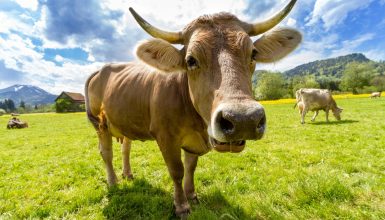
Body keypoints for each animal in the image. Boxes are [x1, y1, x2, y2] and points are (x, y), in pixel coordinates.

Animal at [85, 0, 302, 217]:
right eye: (191, 60)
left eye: (253, 54)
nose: (243, 120)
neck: (197, 123)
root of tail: (102, 68)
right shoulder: (165, 137)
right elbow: (177, 171)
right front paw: (181, 205)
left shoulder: (193, 141)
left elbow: (190, 167)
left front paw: (192, 196)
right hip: (100, 124)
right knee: (106, 153)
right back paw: (113, 182)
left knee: (125, 148)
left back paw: (128, 174)